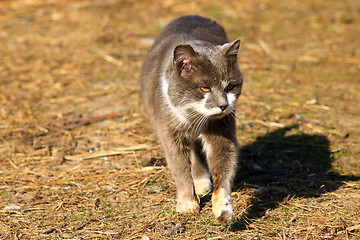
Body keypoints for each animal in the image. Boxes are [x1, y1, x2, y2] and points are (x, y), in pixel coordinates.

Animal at [139, 15, 243, 225]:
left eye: (230, 87)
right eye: (204, 88)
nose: (223, 105)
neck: (196, 115)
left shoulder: (222, 128)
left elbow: (224, 163)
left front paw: (223, 210)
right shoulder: (169, 130)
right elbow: (179, 167)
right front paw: (188, 204)